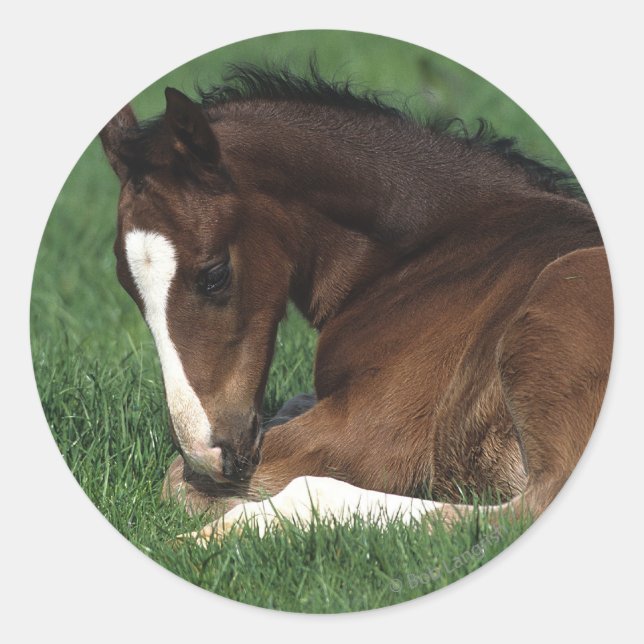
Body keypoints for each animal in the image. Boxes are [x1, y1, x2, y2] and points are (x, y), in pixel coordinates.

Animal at [99, 65, 613, 540]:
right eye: (126, 285)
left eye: (214, 274)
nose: (208, 455)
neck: (431, 251)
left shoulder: (379, 430)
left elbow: (175, 482)